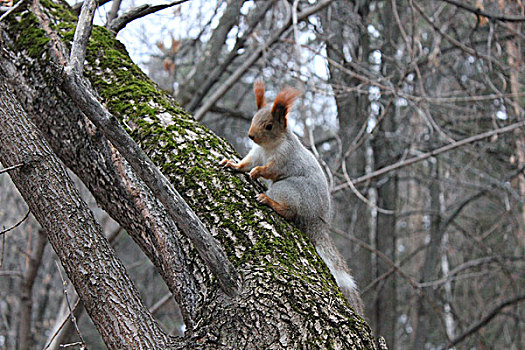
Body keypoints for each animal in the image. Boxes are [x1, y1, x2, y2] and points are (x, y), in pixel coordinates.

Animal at [219, 80, 362, 316]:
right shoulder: (255, 153)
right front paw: (233, 164)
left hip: (287, 189)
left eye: (269, 126)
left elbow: (269, 170)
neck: (268, 147)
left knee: (289, 211)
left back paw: (269, 201)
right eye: (252, 118)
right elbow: (246, 163)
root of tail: (317, 222)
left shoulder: (284, 159)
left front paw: (257, 173)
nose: (250, 135)